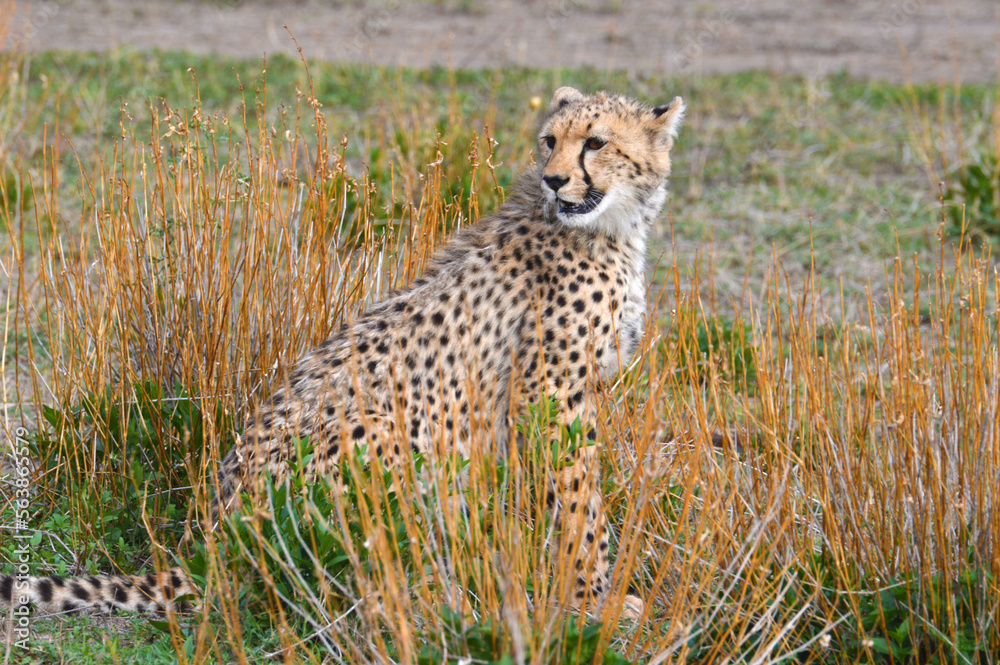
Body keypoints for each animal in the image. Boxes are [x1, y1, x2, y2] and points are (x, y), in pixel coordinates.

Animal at [1, 86, 684, 620]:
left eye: (595, 143)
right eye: (549, 141)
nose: (554, 177)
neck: (606, 228)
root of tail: (211, 535)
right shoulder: (551, 395)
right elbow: (581, 502)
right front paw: (593, 595)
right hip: (382, 429)